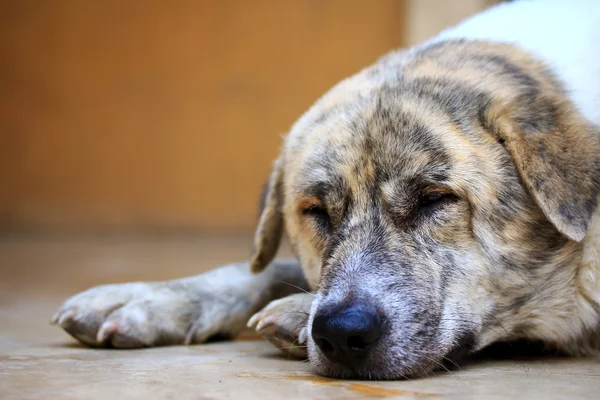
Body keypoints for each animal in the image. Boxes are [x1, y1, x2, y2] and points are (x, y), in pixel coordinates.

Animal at [51, 1, 600, 380]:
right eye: (316, 212)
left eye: (436, 199)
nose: (341, 333)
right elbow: (262, 270)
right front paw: (153, 299)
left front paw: (294, 313)